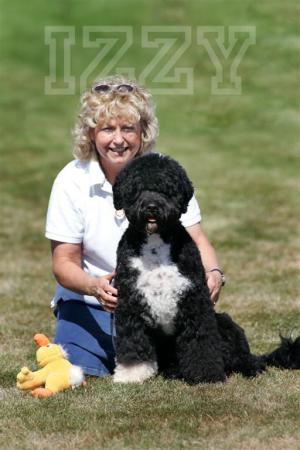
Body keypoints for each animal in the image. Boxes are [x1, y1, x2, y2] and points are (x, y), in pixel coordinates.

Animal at [112, 154, 300, 384]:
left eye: (166, 188)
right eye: (137, 189)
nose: (152, 206)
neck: (155, 245)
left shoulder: (196, 301)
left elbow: (201, 343)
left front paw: (205, 374)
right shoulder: (129, 303)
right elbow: (132, 341)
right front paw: (131, 374)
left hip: (225, 323)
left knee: (245, 357)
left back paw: (251, 368)